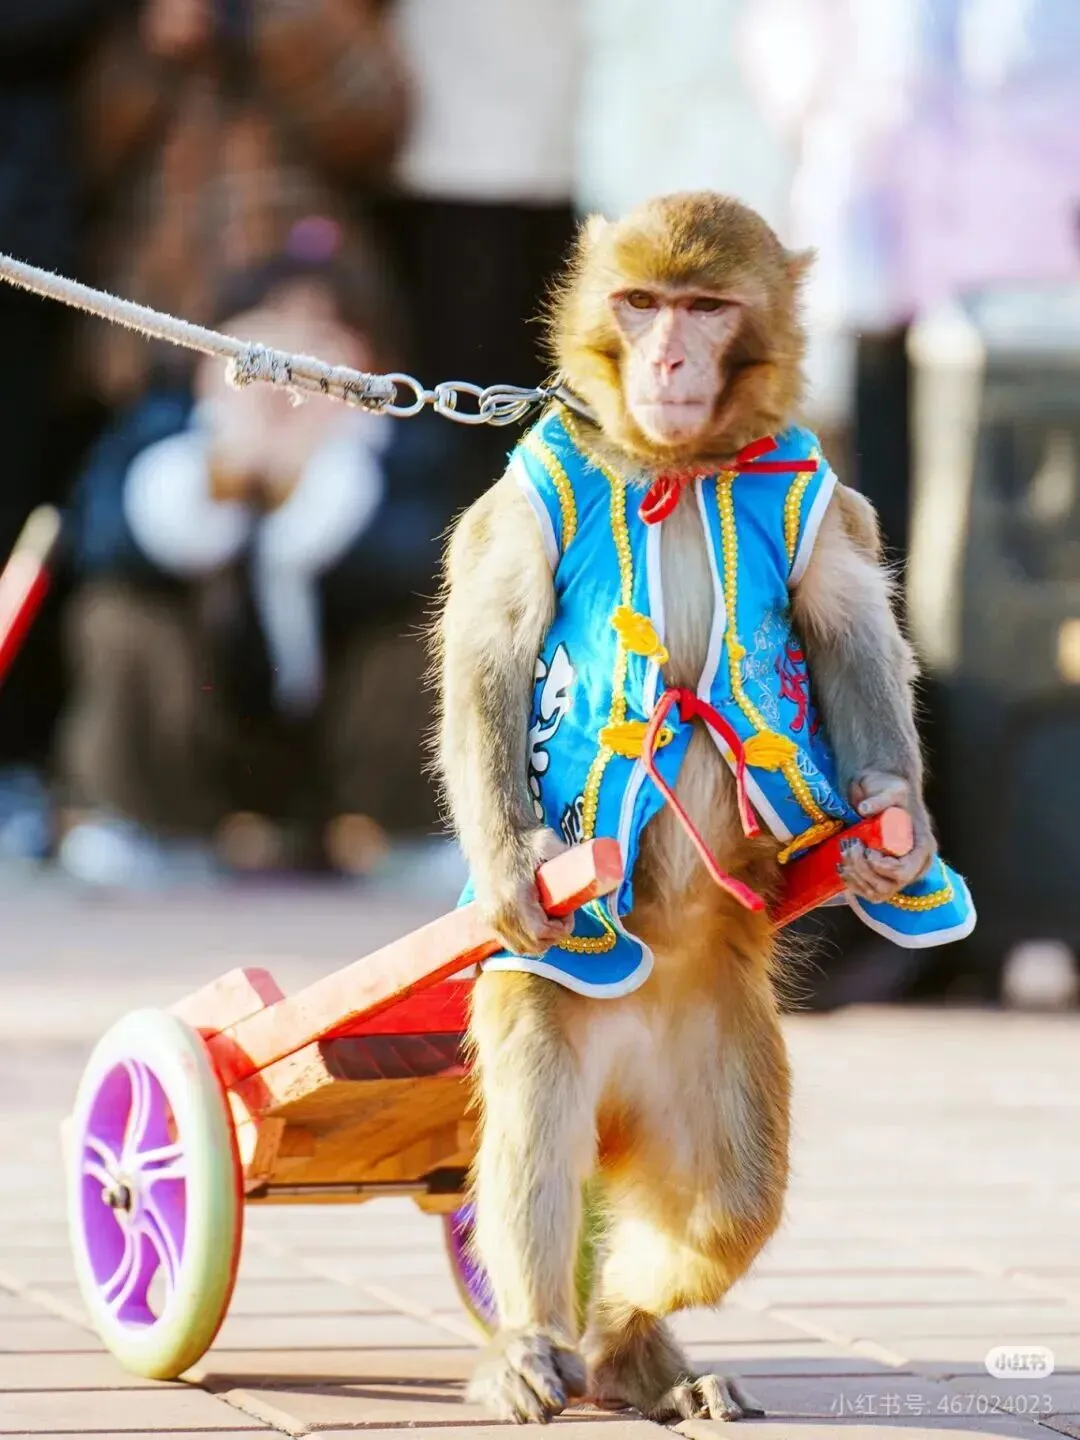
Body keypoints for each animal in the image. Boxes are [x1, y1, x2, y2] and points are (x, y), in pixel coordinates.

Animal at [432, 192, 974, 1424]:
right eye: (641, 303)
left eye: (706, 307)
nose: (669, 357)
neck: (673, 465)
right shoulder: (528, 500)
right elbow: (492, 646)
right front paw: (508, 864)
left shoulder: (824, 501)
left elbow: (850, 627)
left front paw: (894, 828)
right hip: (558, 1005)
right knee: (538, 1148)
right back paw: (538, 1340)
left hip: (717, 1049)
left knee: (729, 1201)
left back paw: (625, 1338)